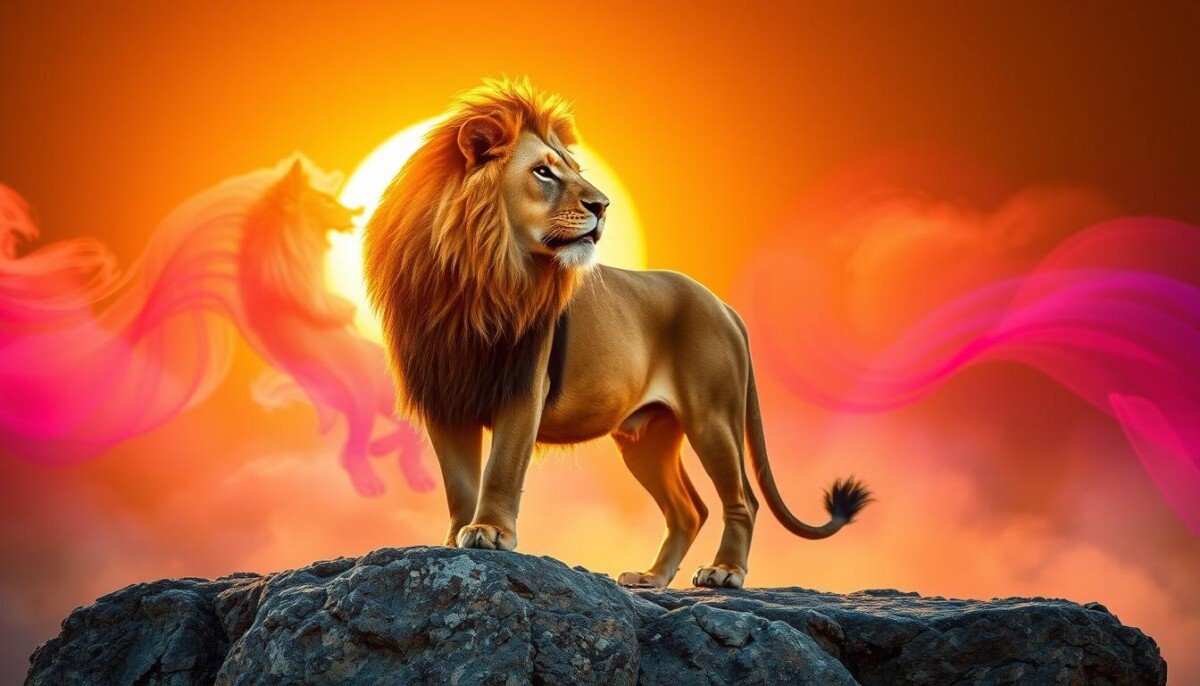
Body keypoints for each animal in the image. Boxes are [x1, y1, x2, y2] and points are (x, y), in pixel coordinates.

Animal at [364, 78, 870, 588]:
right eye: (543, 172)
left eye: (574, 171)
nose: (603, 205)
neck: (474, 273)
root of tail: (723, 305)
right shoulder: (444, 397)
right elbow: (459, 481)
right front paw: (455, 540)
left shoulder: (524, 388)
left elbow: (502, 466)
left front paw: (490, 532)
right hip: (646, 438)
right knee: (689, 510)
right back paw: (652, 579)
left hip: (714, 417)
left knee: (742, 501)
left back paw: (725, 571)